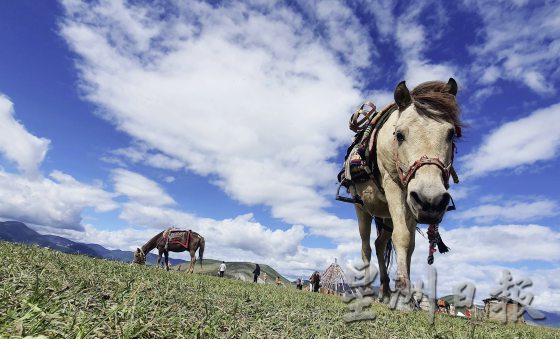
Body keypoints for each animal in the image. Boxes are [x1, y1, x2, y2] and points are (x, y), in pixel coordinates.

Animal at [352, 78, 462, 310]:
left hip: (386, 214)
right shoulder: (393, 186)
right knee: (366, 247)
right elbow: (402, 237)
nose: (431, 200)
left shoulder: (411, 201)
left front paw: (407, 294)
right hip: (361, 208)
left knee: (379, 244)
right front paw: (403, 296)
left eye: (450, 134)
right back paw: (368, 292)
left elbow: (410, 244)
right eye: (400, 134)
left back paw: (385, 292)